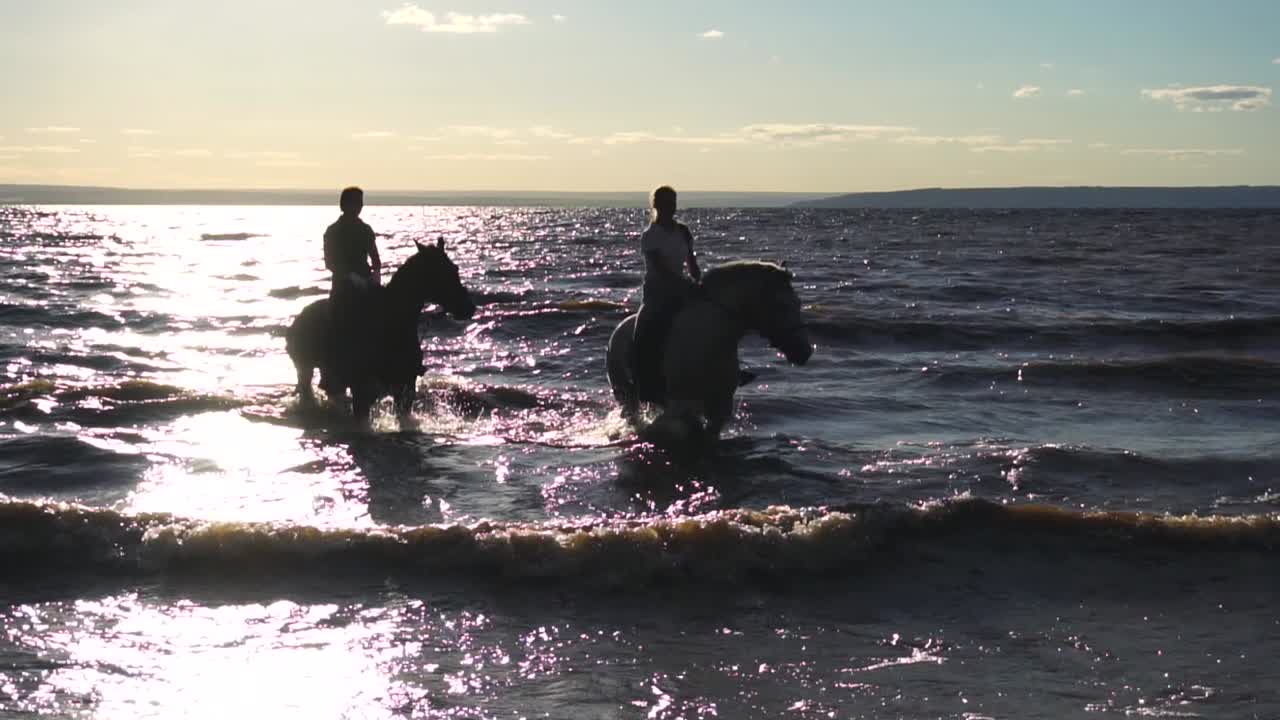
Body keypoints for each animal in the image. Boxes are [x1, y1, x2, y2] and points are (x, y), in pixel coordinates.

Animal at [286, 238, 476, 419]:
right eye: (439, 273)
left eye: (455, 268)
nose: (468, 308)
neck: (391, 325)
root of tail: (299, 318)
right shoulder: (362, 391)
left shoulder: (405, 389)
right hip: (305, 369)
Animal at [606, 260, 813, 443]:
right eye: (783, 306)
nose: (805, 351)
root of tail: (620, 328)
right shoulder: (681, 408)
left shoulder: (719, 409)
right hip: (626, 394)